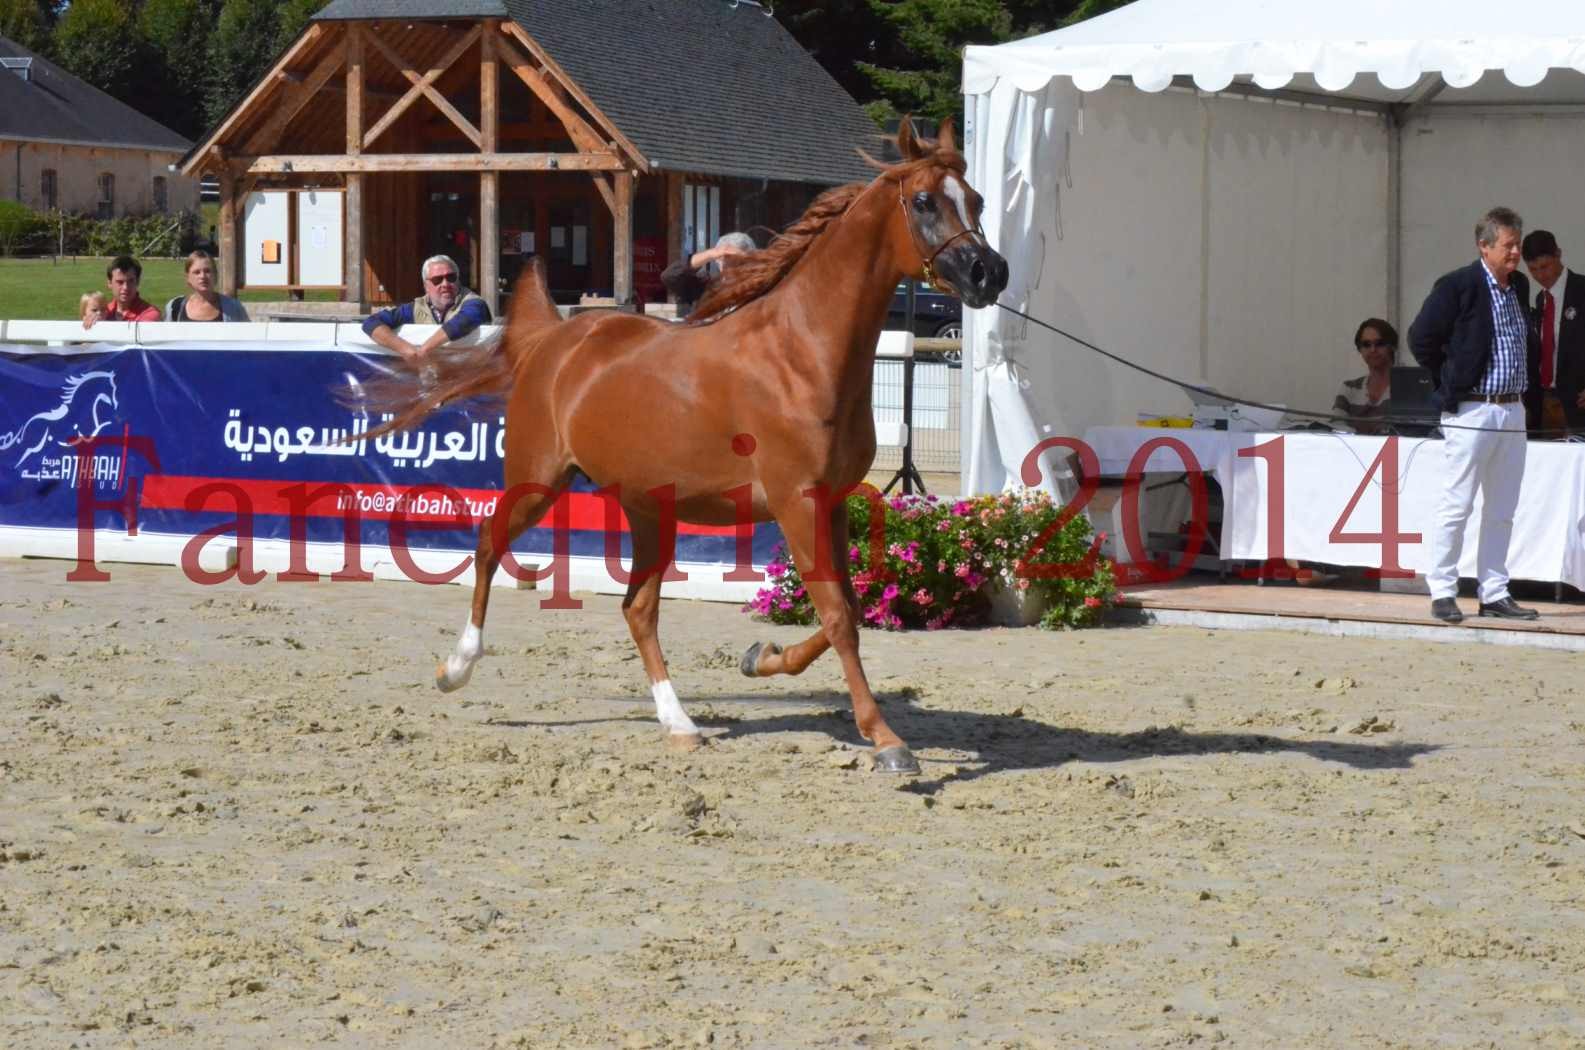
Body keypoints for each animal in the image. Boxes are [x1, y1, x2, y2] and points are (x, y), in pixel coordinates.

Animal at [367, 118, 1001, 777]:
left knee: (637, 608)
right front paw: (886, 740)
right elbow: (837, 615)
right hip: (539, 480)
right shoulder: (796, 502)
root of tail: (554, 339)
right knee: (490, 546)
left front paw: (760, 656)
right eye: (924, 201)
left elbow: (846, 610)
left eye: (976, 200)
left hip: (650, 509)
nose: (989, 272)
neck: (803, 354)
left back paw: (680, 723)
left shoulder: (832, 502)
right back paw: (456, 668)